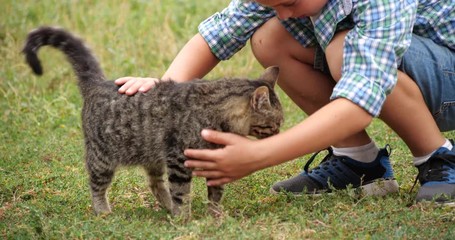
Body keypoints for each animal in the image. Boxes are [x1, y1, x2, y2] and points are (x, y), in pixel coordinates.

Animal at [22, 26, 284, 218]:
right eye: (275, 123)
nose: (279, 134)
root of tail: (98, 83)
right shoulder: (178, 160)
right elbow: (182, 192)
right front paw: (184, 219)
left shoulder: (216, 162)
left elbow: (215, 193)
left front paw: (215, 217)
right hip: (102, 158)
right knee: (96, 186)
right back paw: (104, 211)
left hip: (153, 156)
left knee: (155, 185)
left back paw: (166, 207)